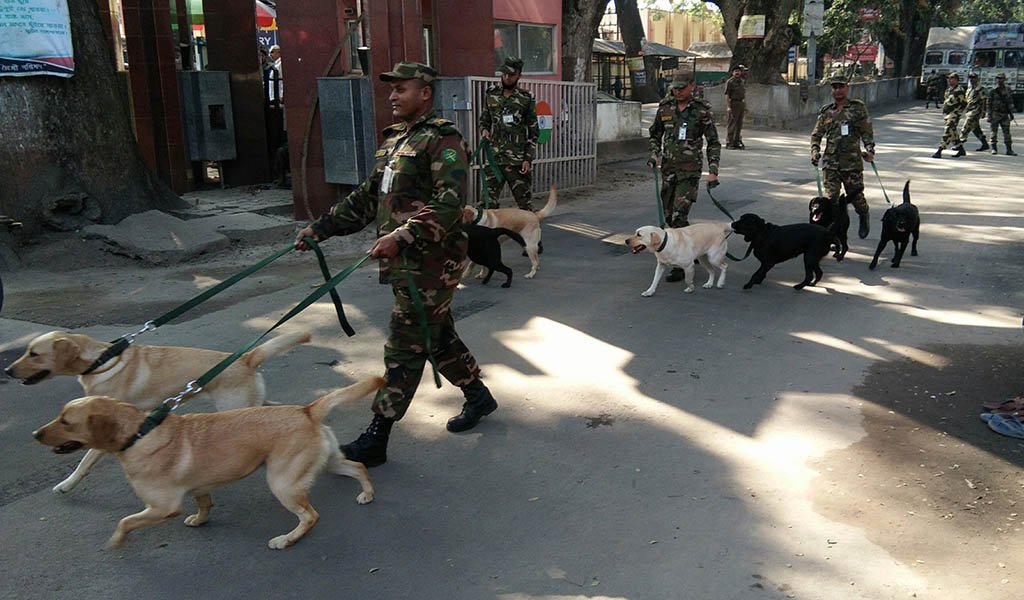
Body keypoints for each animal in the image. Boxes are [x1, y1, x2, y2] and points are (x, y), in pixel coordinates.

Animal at [34, 376, 385, 548]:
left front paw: (117, 542)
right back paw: (367, 494)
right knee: (358, 467)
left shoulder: (162, 507)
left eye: (66, 421)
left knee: (310, 516)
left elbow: (125, 521)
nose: (36, 434)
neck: (139, 432)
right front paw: (200, 519)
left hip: (282, 483)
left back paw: (286, 540)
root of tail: (307, 410)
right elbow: (204, 504)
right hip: (325, 462)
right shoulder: (199, 487)